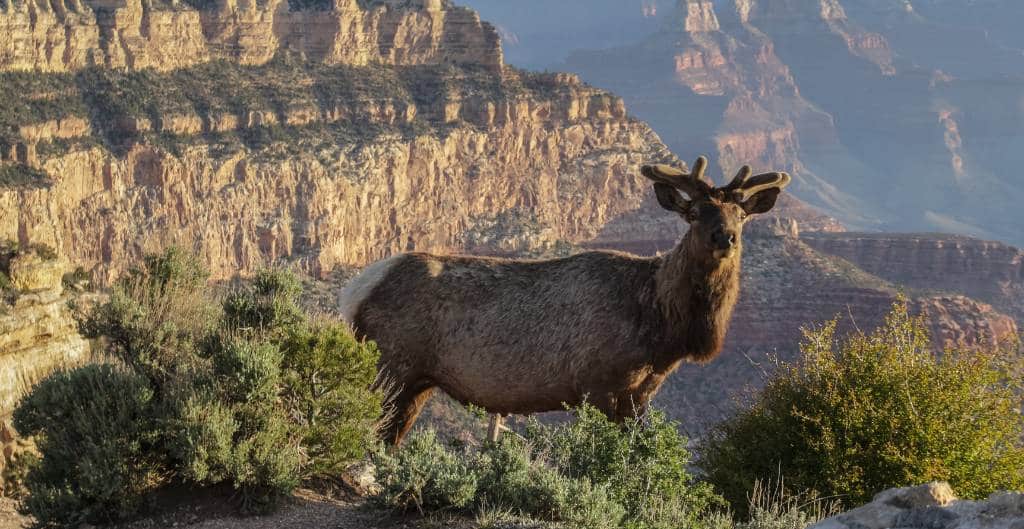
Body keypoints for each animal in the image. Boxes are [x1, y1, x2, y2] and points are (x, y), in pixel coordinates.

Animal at [339, 155, 786, 442]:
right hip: (391, 366)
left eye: (741, 215)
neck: (661, 327)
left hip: (418, 382)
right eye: (693, 213)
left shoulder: (641, 395)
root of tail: (355, 290)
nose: (724, 237)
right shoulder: (597, 384)